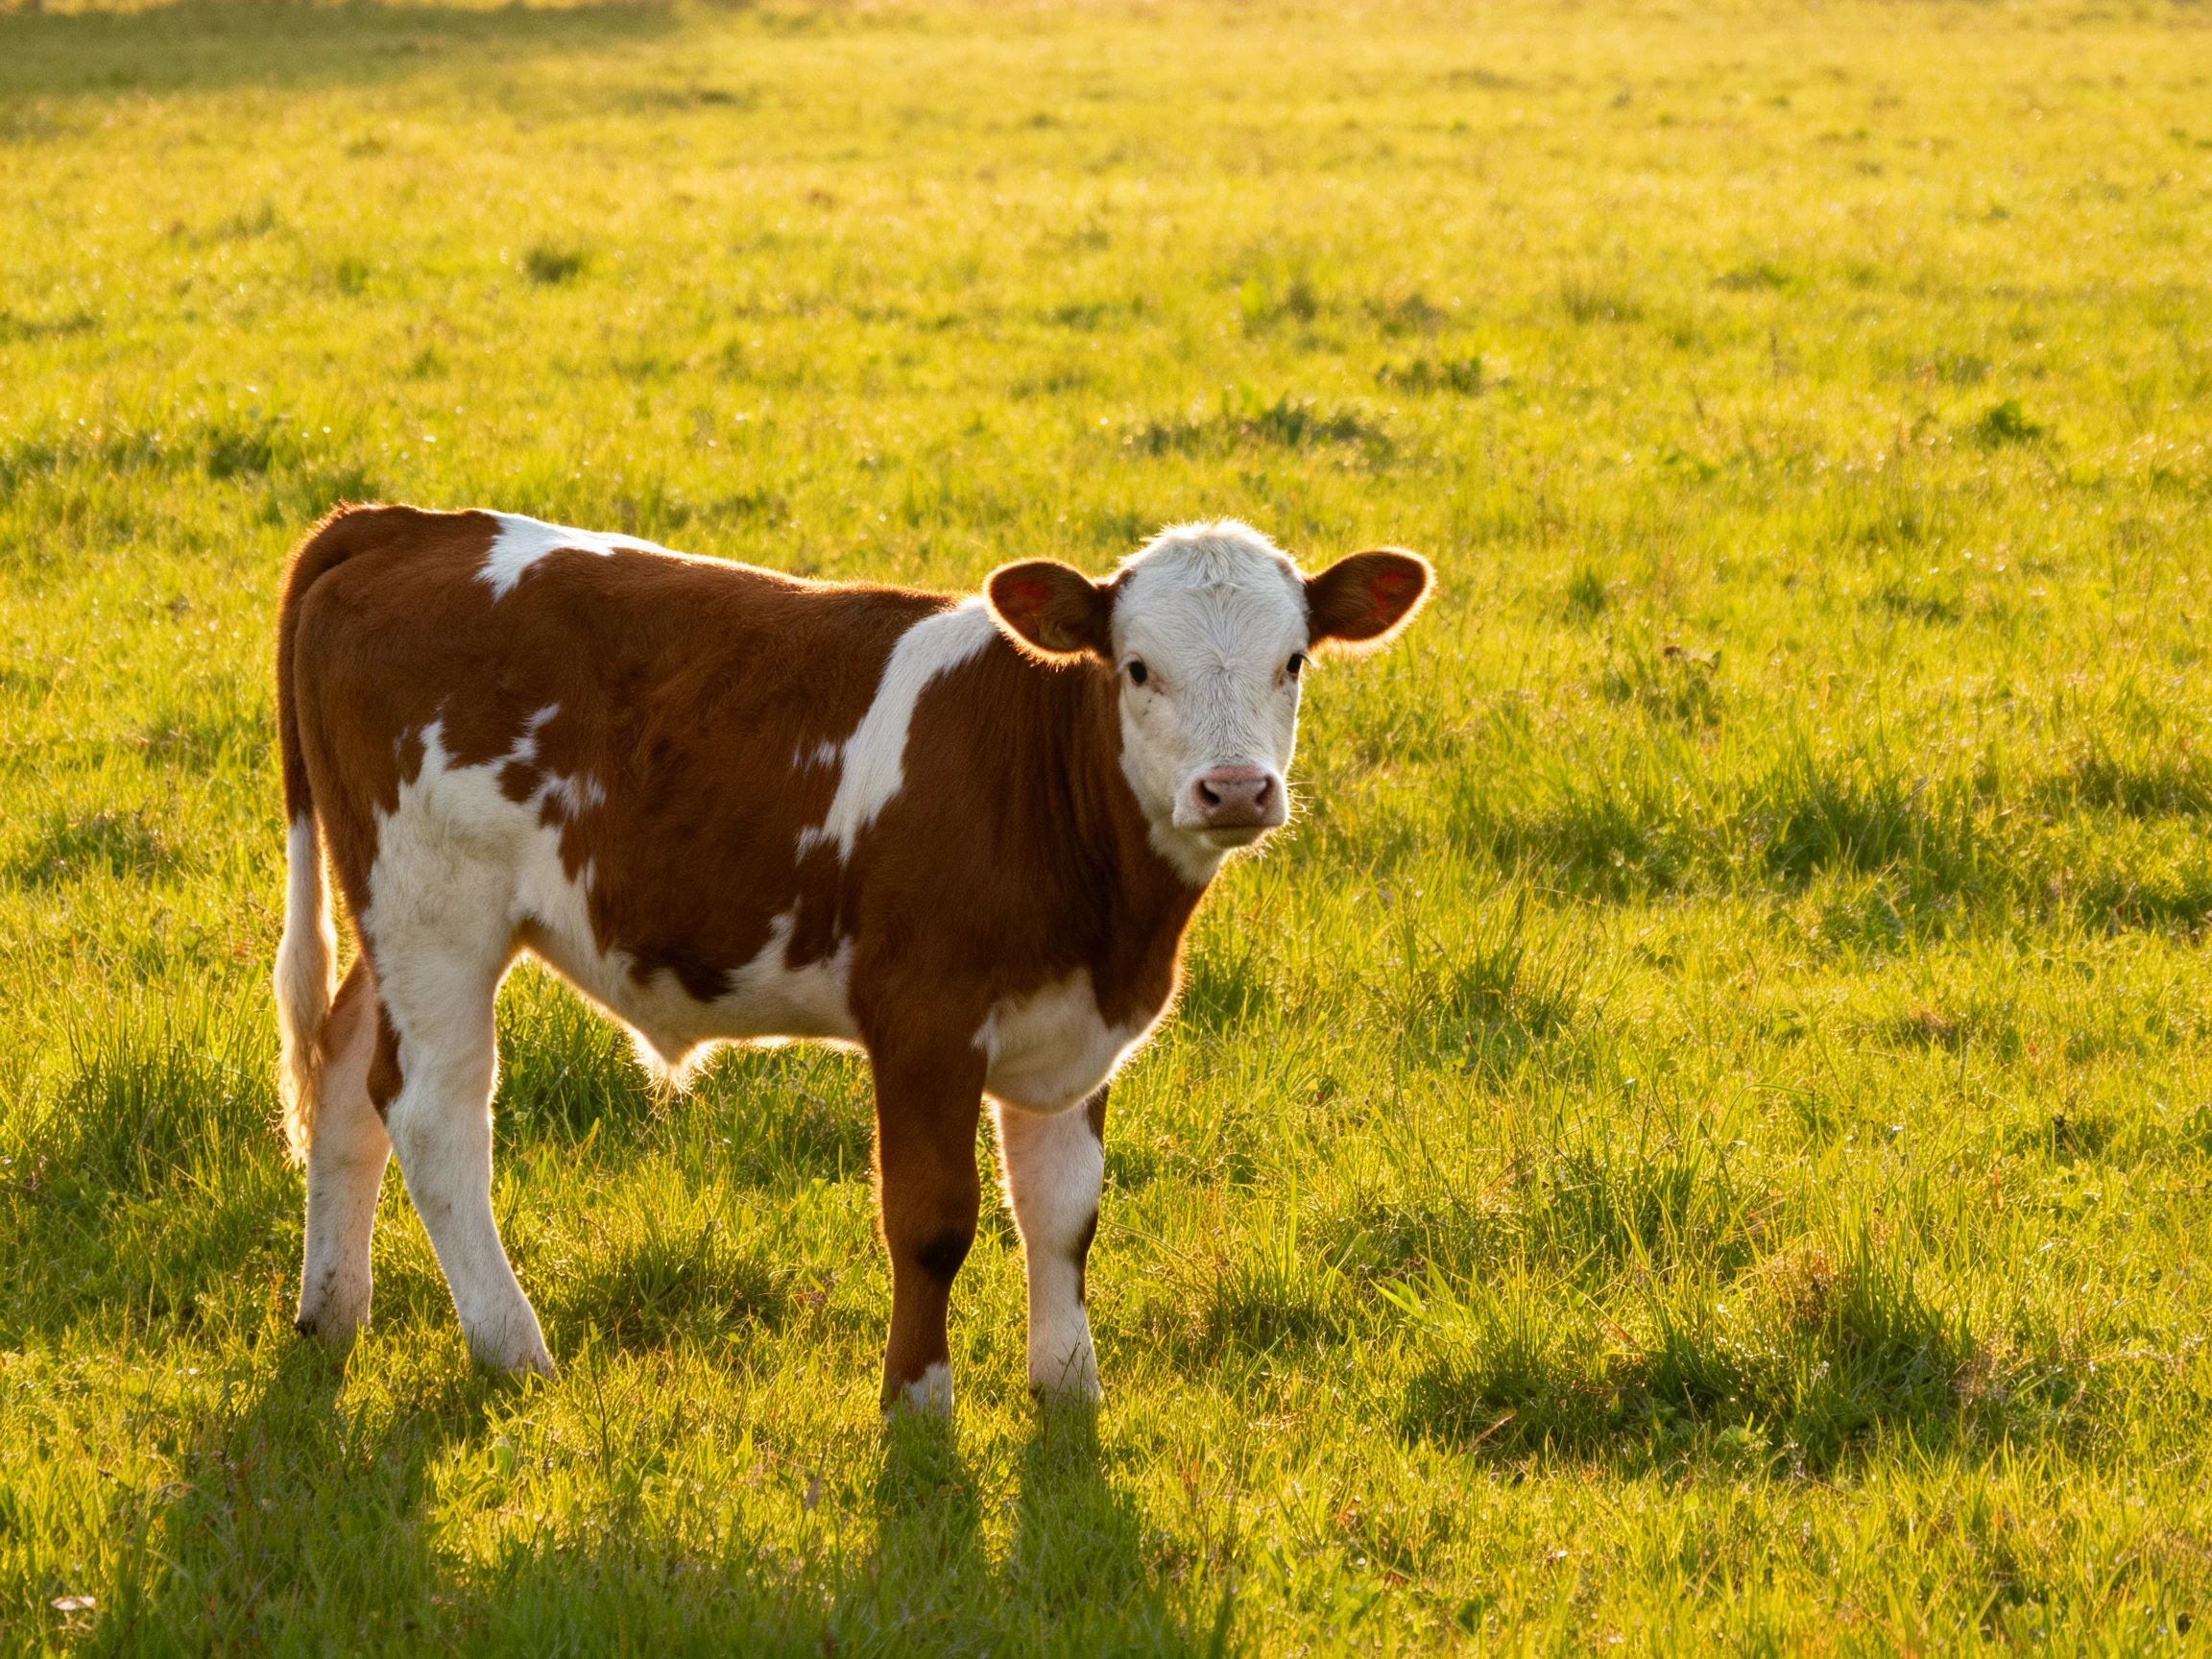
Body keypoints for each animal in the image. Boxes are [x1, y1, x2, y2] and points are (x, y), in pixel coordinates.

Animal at [272, 505, 1429, 1412]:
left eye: (1293, 661)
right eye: (1138, 668)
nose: (1234, 789)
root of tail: (405, 524)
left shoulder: (1072, 1033)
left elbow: (1063, 1214)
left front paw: (1068, 1395)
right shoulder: (924, 1019)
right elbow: (932, 1220)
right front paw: (918, 1402)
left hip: (392, 915)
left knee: (345, 1069)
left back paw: (332, 1313)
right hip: (438, 909)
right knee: (433, 1110)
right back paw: (513, 1351)